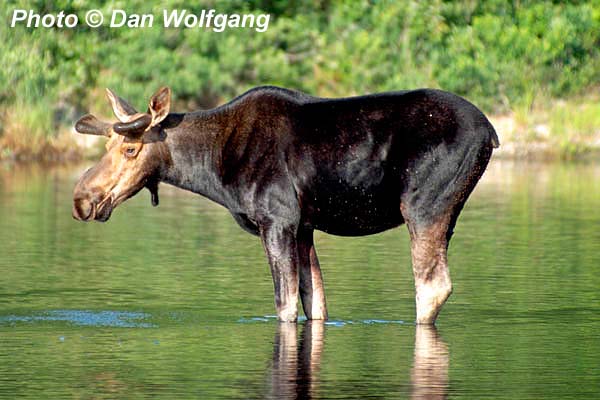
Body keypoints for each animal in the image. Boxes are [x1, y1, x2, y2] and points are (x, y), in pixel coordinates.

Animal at [72, 86, 500, 324]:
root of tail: (492, 134)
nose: (82, 200)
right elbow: (316, 302)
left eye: (130, 149)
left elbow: (285, 304)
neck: (212, 169)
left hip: (424, 207)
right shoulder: (304, 227)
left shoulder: (277, 220)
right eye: (107, 146)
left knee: (432, 286)